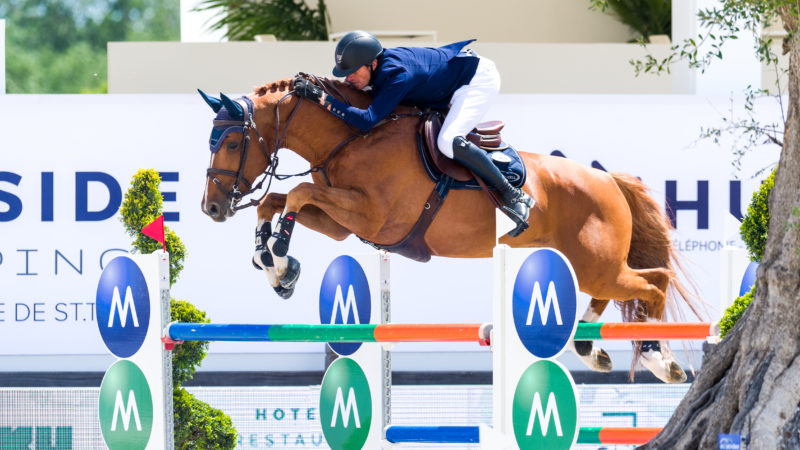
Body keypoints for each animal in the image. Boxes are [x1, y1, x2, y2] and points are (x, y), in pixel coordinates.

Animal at [198, 77, 700, 384]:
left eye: (234, 141)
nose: (212, 207)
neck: (353, 137)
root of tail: (608, 179)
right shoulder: (342, 223)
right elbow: (277, 200)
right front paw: (274, 266)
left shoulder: (369, 215)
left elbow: (298, 194)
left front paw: (281, 258)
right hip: (589, 263)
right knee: (615, 291)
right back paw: (588, 346)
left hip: (598, 262)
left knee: (654, 283)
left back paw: (661, 360)